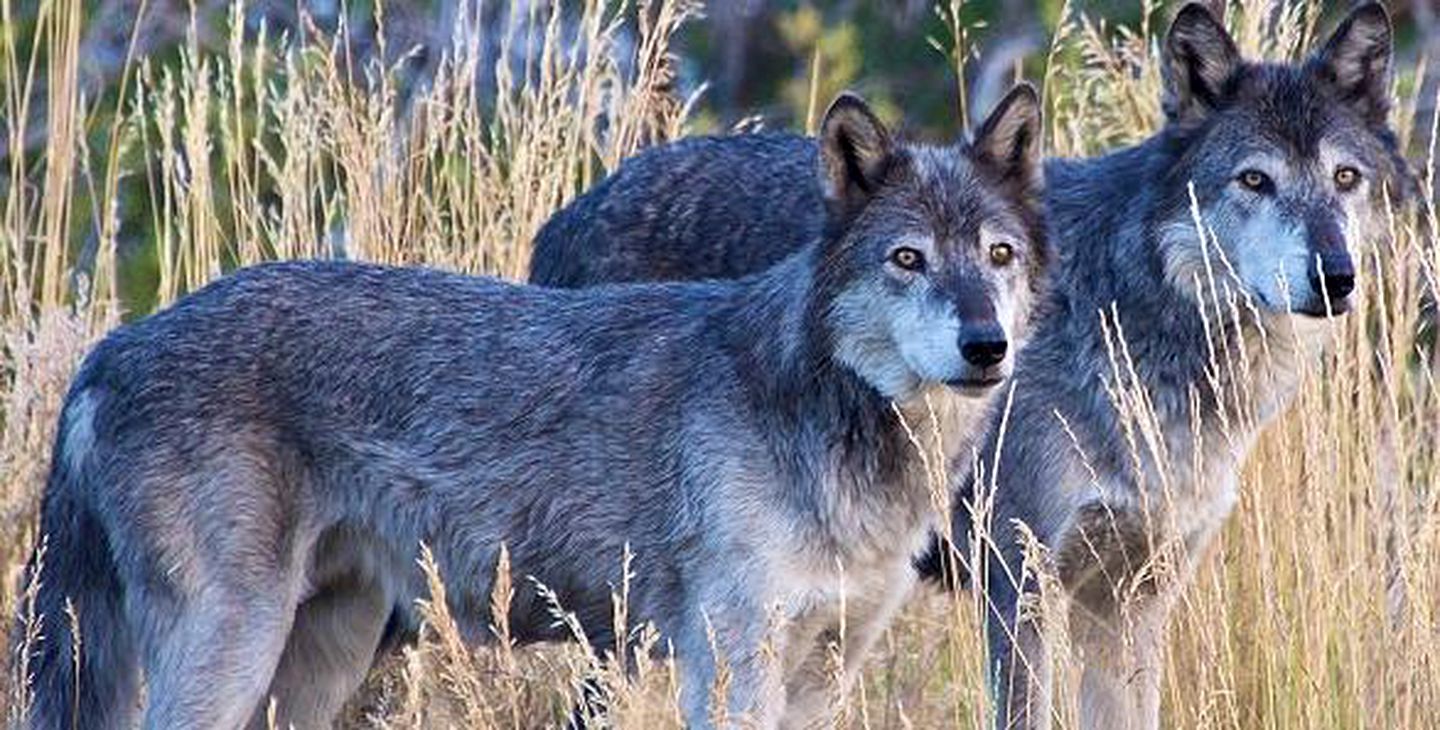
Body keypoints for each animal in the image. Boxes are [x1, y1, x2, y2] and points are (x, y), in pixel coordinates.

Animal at [11, 88, 1048, 728]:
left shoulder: (822, 672)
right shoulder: (728, 666)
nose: (985, 345)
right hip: (234, 644)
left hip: (319, 653)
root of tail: (108, 351)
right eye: (908, 259)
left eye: (997, 255)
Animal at [527, 5, 1405, 730]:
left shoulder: (1134, 597)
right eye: (1255, 179)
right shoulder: (1018, 582)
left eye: (1345, 178)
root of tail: (566, 216)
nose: (1335, 275)